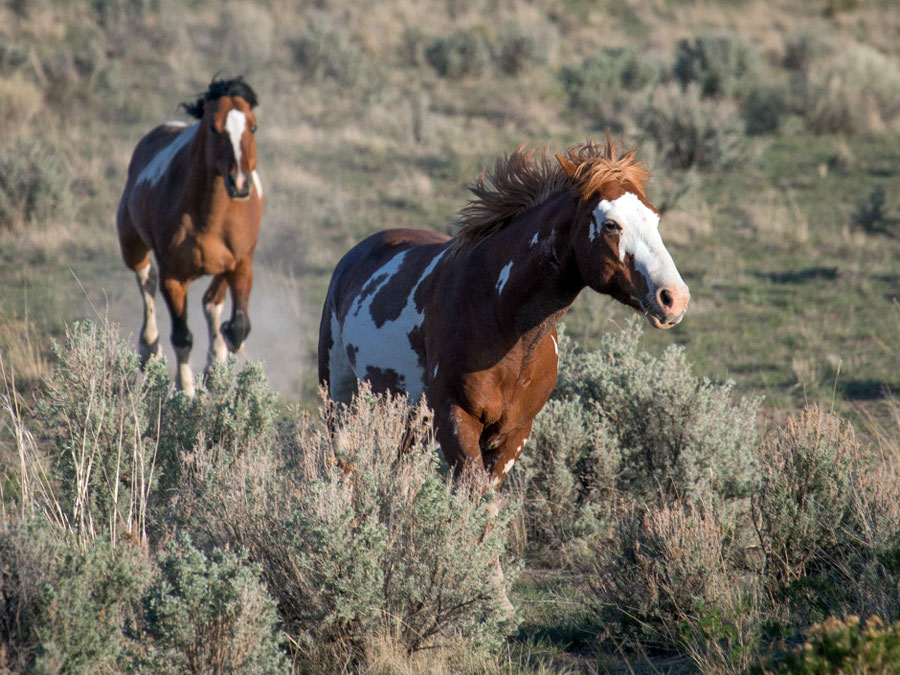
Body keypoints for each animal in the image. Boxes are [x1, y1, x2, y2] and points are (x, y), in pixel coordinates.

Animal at [116, 77, 263, 395]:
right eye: (214, 128)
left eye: (253, 127)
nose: (240, 184)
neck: (209, 217)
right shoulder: (174, 277)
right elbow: (182, 337)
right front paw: (185, 390)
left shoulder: (241, 264)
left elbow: (238, 327)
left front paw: (218, 361)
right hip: (131, 244)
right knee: (146, 280)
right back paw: (149, 348)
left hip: (223, 268)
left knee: (211, 302)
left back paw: (215, 360)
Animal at [318, 135, 690, 488]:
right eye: (611, 224)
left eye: (655, 218)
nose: (675, 298)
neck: (500, 318)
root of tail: (355, 255)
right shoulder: (455, 419)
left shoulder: (513, 433)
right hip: (341, 399)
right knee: (344, 462)